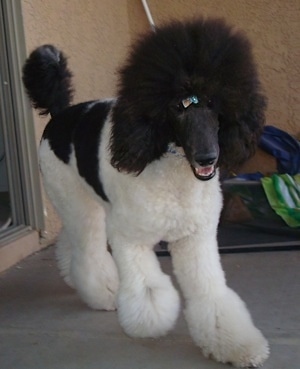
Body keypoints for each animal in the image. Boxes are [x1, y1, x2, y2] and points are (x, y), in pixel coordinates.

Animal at [22, 18, 268, 368]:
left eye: (213, 104)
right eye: (178, 108)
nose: (208, 158)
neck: (171, 169)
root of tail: (60, 115)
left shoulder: (196, 238)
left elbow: (210, 294)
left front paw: (235, 345)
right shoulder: (130, 238)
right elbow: (148, 288)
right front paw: (149, 320)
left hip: (87, 205)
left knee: (72, 242)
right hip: (78, 206)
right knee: (89, 251)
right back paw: (104, 292)